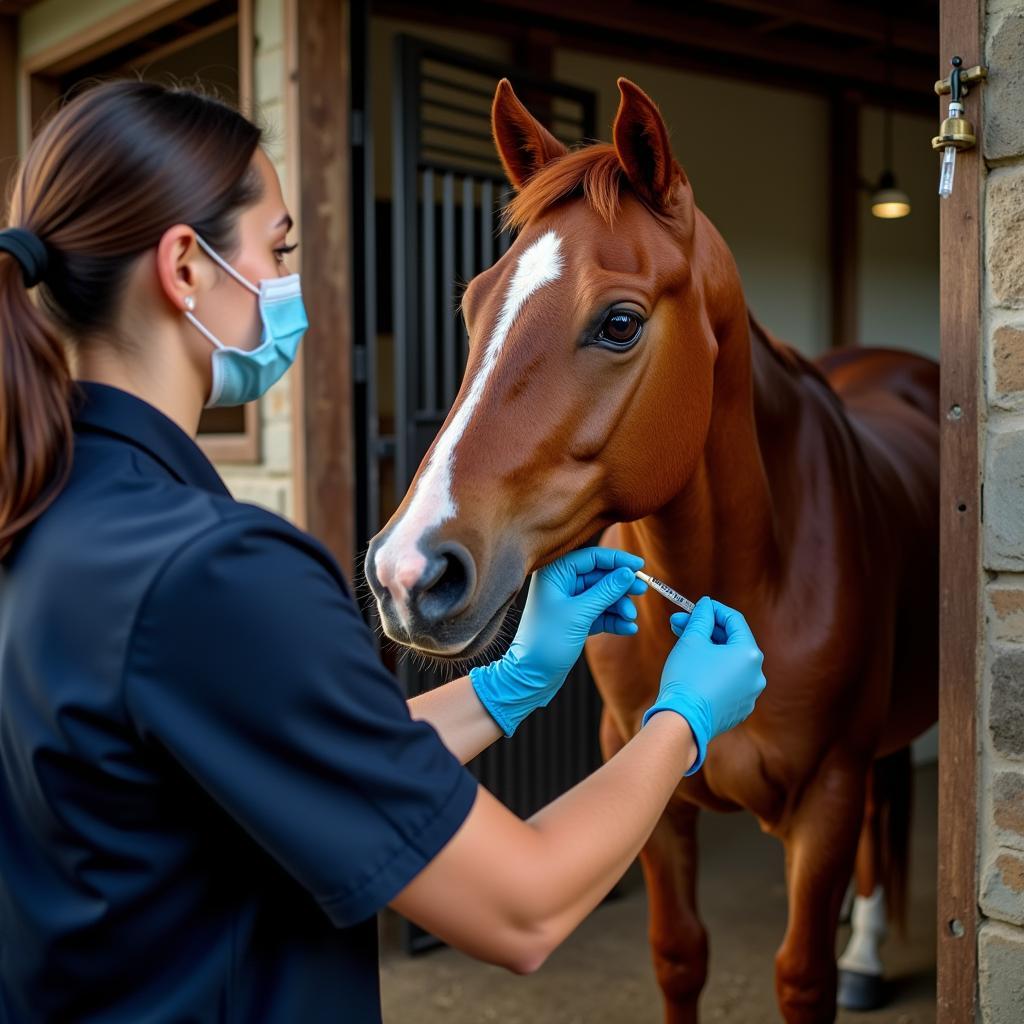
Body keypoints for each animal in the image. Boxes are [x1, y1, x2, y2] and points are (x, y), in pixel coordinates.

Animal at [366, 79, 937, 1024]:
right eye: (474, 307)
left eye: (621, 321)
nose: (408, 571)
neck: (756, 573)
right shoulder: (647, 790)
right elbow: (678, 954)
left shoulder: (827, 796)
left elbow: (803, 975)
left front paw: (839, 959)